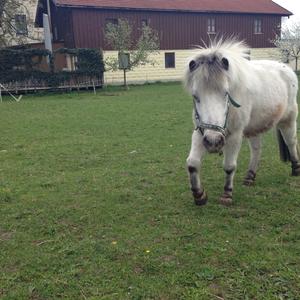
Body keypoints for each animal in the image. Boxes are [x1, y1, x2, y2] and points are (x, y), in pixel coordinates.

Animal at [184, 39, 298, 206]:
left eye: (226, 93)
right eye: (195, 96)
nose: (213, 142)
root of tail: (287, 69)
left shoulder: (235, 135)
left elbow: (229, 166)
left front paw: (227, 195)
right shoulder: (200, 132)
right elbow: (192, 163)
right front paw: (199, 195)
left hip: (288, 120)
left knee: (291, 142)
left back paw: (296, 169)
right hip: (255, 127)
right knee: (256, 150)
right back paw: (250, 177)